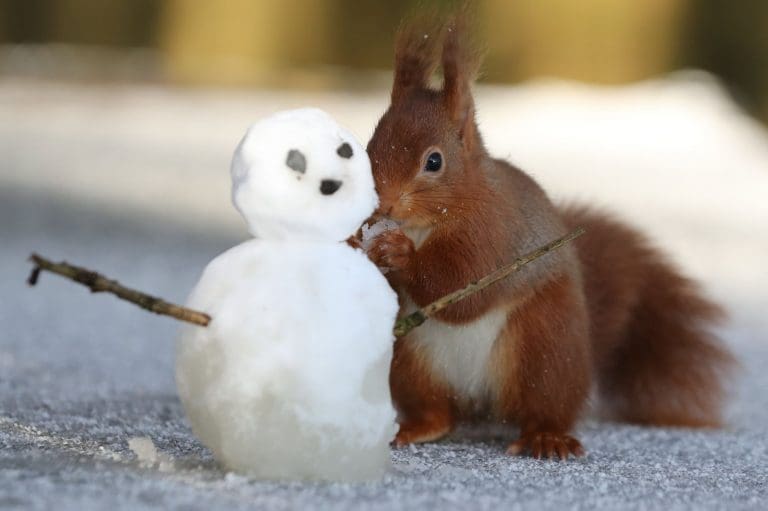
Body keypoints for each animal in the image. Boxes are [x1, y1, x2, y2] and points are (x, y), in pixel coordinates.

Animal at [364, 11, 735, 459]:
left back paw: (547, 438)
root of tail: (478, 401)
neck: (425, 224)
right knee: (438, 412)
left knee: (545, 405)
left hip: (545, 346)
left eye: (433, 162)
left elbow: (462, 285)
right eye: (368, 146)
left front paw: (399, 252)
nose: (381, 203)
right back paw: (416, 428)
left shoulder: (495, 231)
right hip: (408, 363)